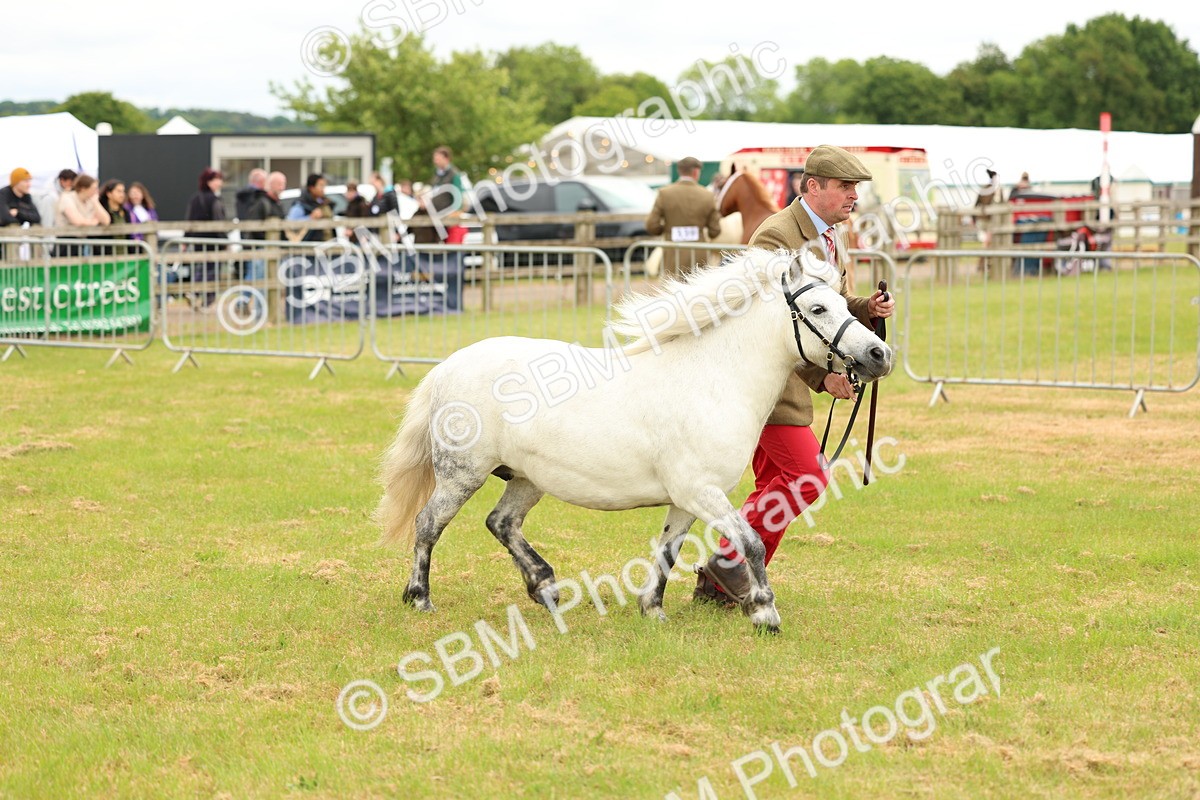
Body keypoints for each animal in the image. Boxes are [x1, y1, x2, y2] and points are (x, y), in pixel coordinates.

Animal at [377, 247, 893, 633]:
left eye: (846, 304)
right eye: (818, 309)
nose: (879, 355)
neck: (713, 378)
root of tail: (449, 365)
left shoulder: (685, 500)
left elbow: (668, 551)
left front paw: (653, 609)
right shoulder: (701, 492)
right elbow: (750, 543)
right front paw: (764, 611)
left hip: (526, 479)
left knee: (501, 523)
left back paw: (546, 588)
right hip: (461, 474)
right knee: (428, 524)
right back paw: (420, 599)